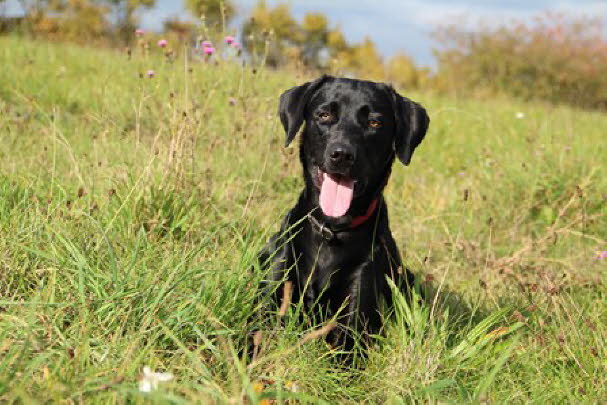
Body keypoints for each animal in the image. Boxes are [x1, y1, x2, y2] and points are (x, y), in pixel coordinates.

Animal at [258, 76, 430, 350]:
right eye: (324, 115)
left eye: (375, 122)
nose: (342, 155)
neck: (332, 230)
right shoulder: (271, 297)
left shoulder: (355, 323)